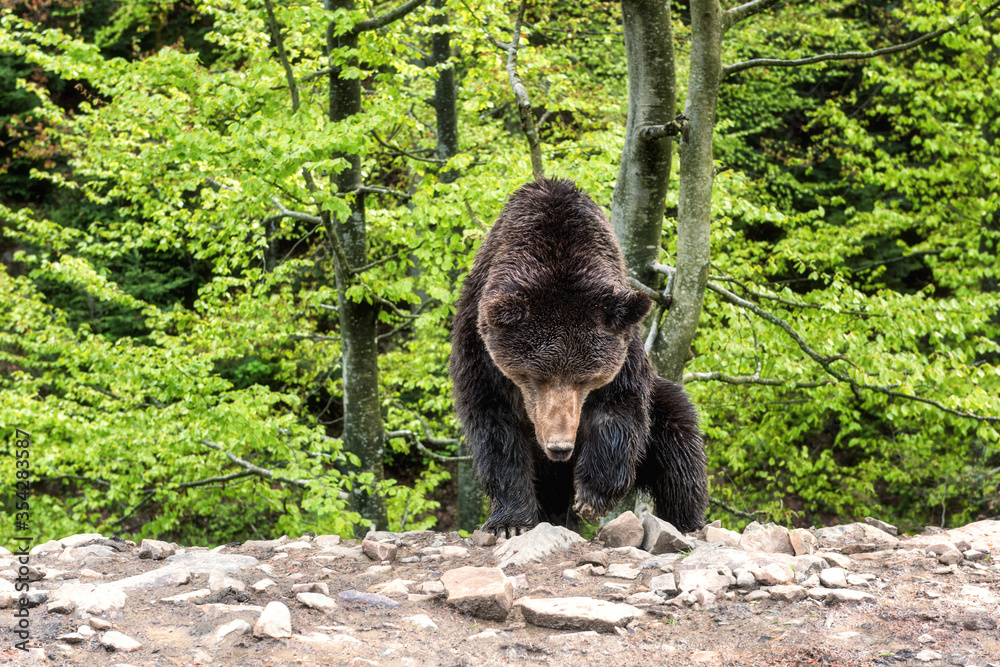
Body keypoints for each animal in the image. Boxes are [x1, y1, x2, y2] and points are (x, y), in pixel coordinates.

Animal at [450, 178, 708, 537]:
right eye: (534, 377)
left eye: (586, 378)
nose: (559, 447)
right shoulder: (479, 352)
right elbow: (495, 429)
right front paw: (510, 523)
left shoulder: (622, 348)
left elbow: (618, 410)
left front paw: (592, 496)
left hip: (663, 414)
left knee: (678, 451)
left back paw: (686, 521)